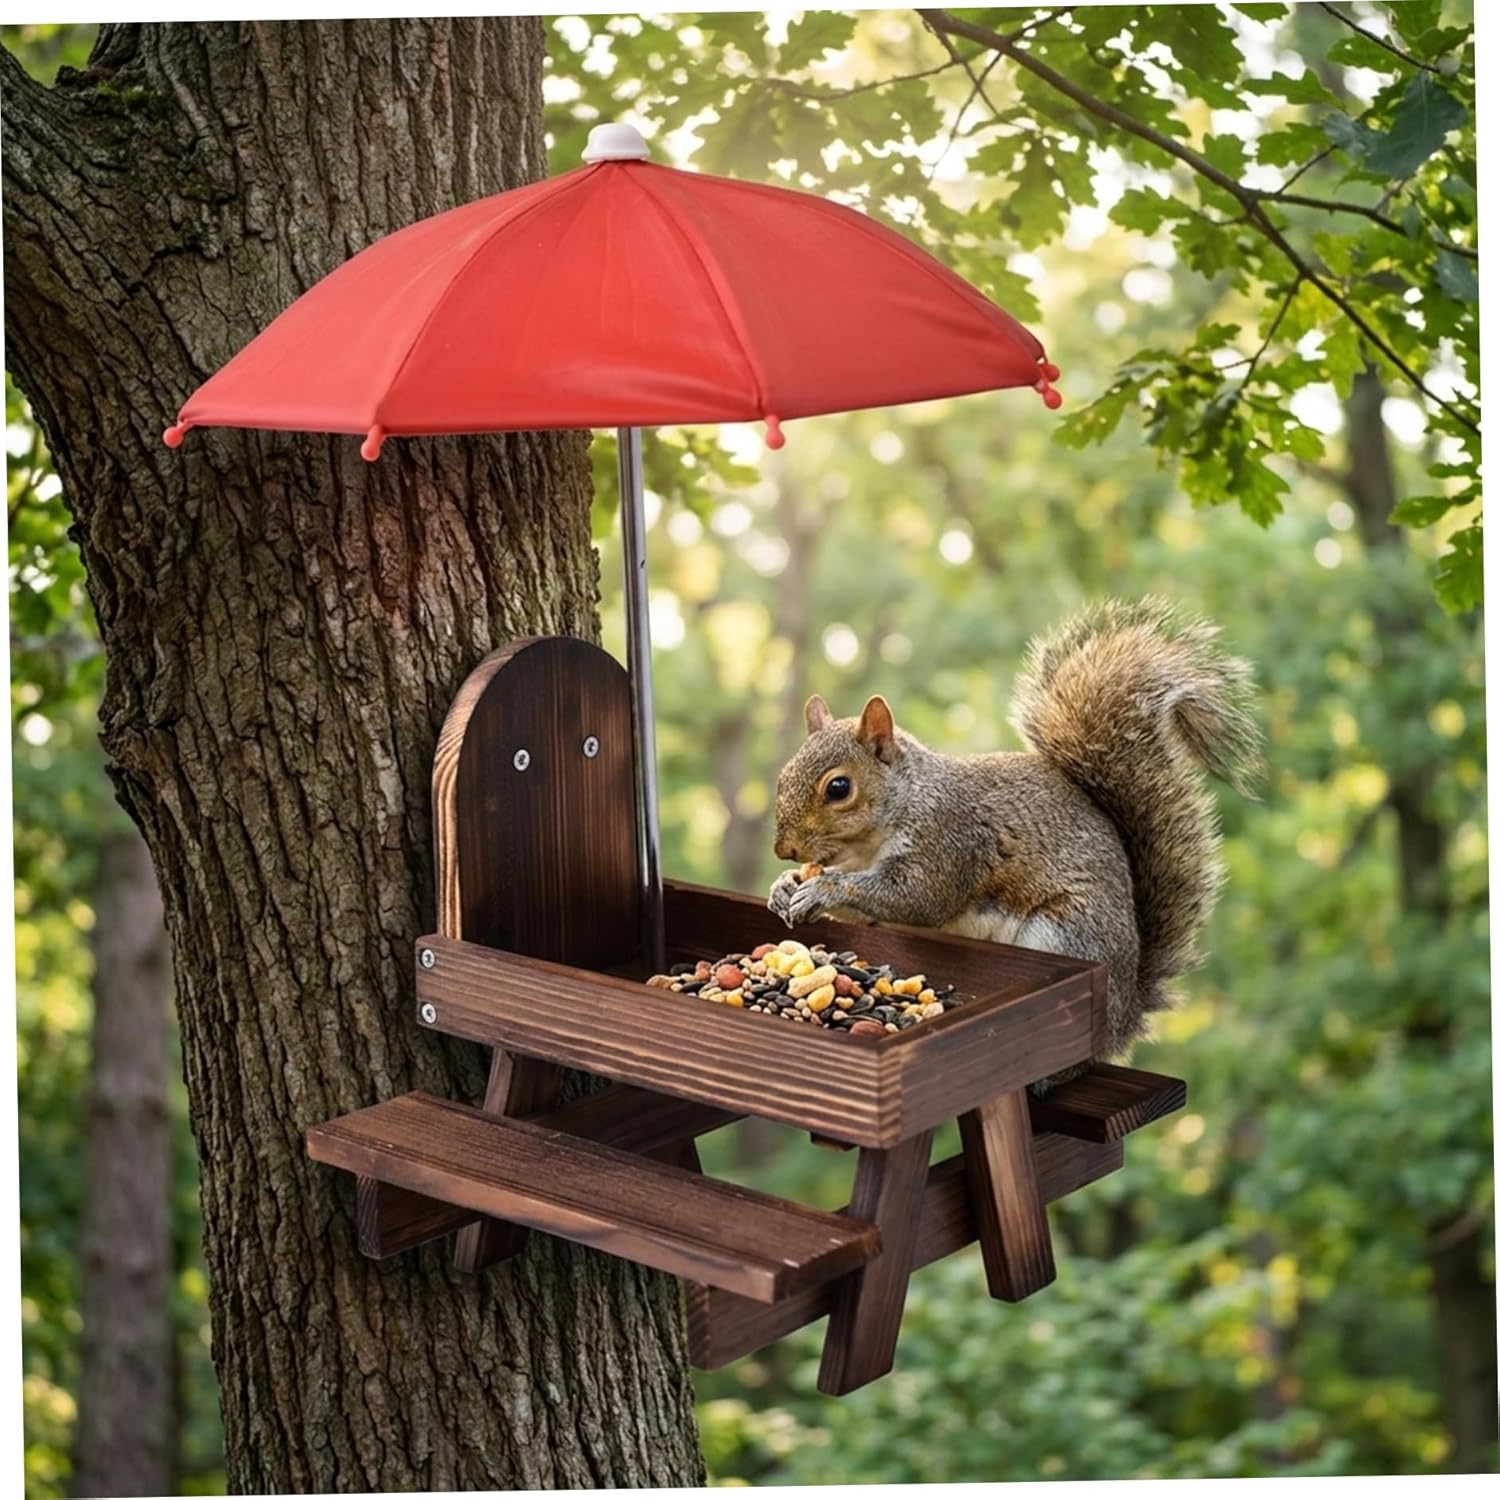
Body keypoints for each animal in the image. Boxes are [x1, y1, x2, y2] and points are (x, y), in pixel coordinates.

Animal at [767, 597, 1261, 1065]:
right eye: (783, 775)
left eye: (838, 788)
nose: (782, 849)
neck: (869, 843)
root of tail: (1123, 1018)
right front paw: (784, 886)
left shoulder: (949, 840)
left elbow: (916, 898)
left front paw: (823, 890)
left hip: (1066, 935)